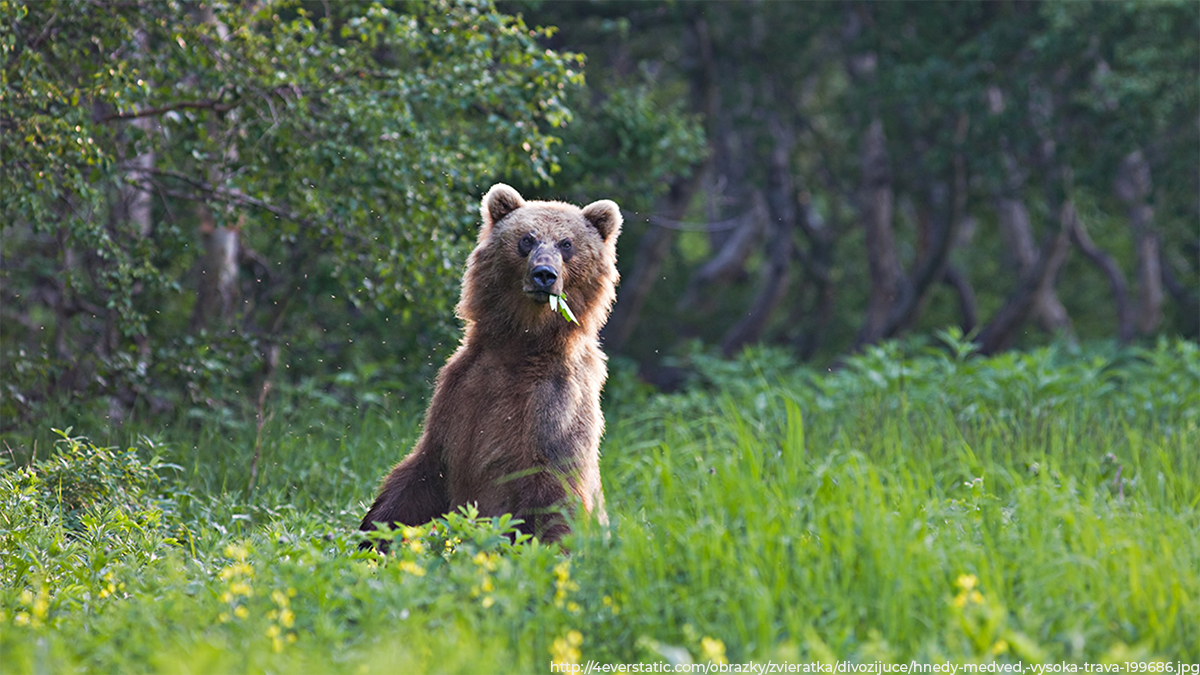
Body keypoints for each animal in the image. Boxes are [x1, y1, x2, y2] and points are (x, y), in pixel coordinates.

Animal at [360, 181, 624, 542]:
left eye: (566, 243)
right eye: (527, 239)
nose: (544, 274)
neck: (522, 345)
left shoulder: (554, 407)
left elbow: (553, 497)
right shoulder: (462, 395)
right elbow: (421, 474)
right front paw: (370, 536)